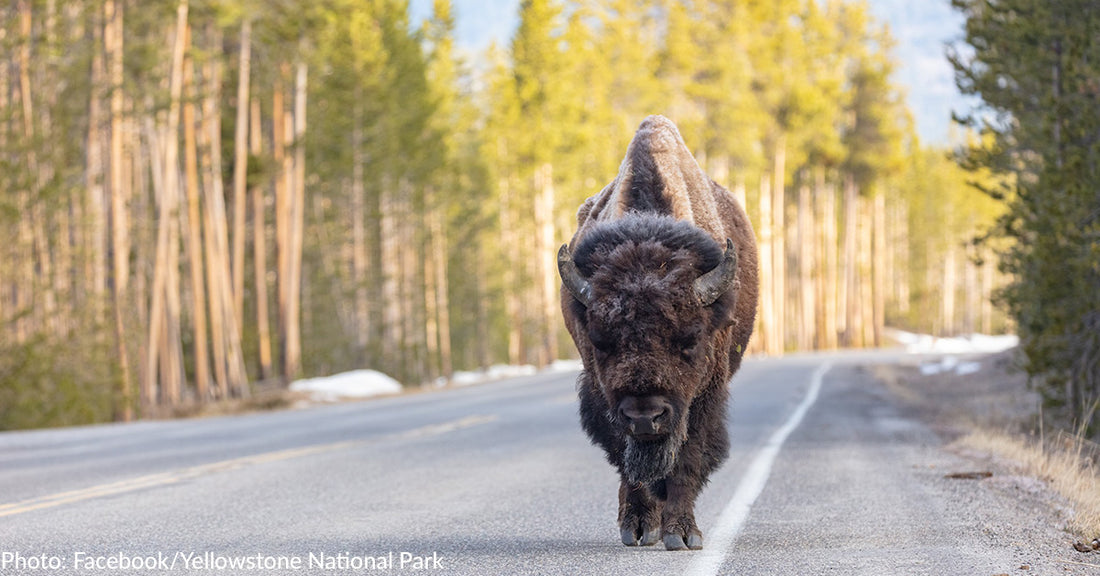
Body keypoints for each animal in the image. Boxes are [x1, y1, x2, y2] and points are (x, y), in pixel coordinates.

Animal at [558, 114, 756, 551]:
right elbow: (626, 459)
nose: (645, 417)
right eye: (601, 341)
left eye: (690, 339)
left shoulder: (702, 397)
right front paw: (638, 526)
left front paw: (682, 533)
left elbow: (686, 459)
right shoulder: (604, 394)